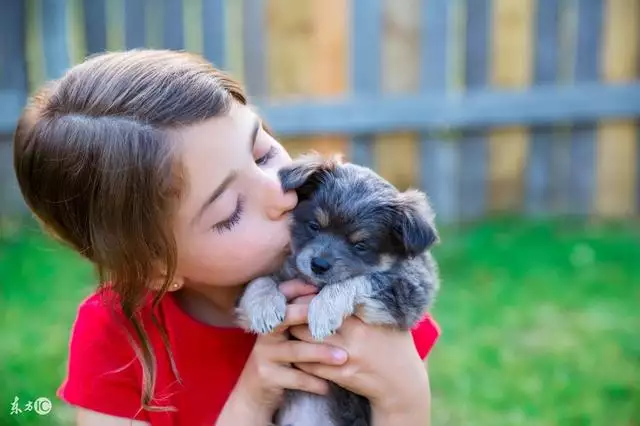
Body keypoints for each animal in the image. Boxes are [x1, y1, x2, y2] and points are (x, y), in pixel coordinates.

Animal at [235, 153, 440, 426]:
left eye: (360, 245)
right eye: (314, 226)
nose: (319, 264)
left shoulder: (409, 291)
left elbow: (357, 280)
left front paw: (324, 311)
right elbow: (259, 280)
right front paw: (264, 307)